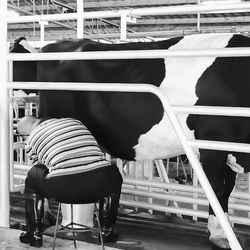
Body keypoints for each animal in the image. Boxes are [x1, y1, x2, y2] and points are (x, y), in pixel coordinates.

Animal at [9, 34, 250, 249]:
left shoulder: (231, 147)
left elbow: (227, 188)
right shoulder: (212, 141)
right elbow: (218, 189)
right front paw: (220, 234)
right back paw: (46, 217)